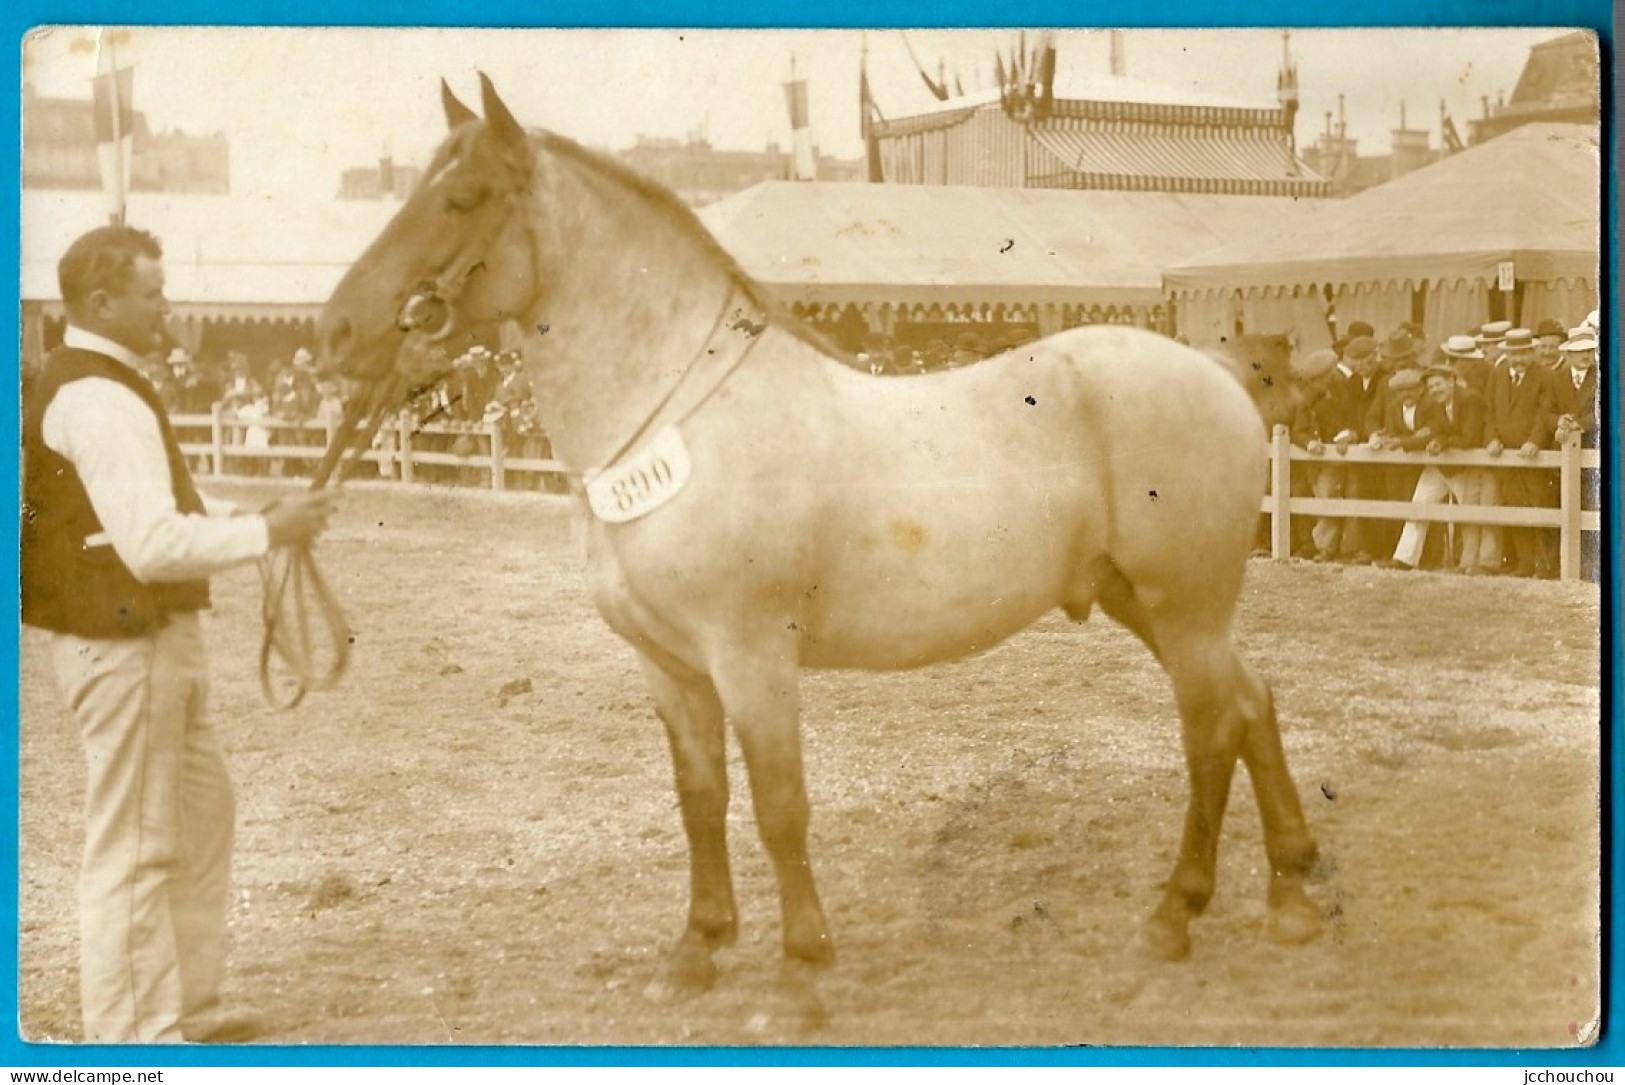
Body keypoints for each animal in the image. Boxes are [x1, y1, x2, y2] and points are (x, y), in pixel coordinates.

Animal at [316, 74, 1319, 1007]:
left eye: (462, 197)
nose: (336, 330)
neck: (677, 419)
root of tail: (1220, 370)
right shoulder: (670, 667)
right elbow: (701, 800)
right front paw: (697, 948)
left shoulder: (753, 656)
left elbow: (778, 805)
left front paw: (802, 962)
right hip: (1142, 602)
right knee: (1253, 701)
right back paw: (1290, 887)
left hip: (1182, 610)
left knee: (1210, 731)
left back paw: (1175, 912)